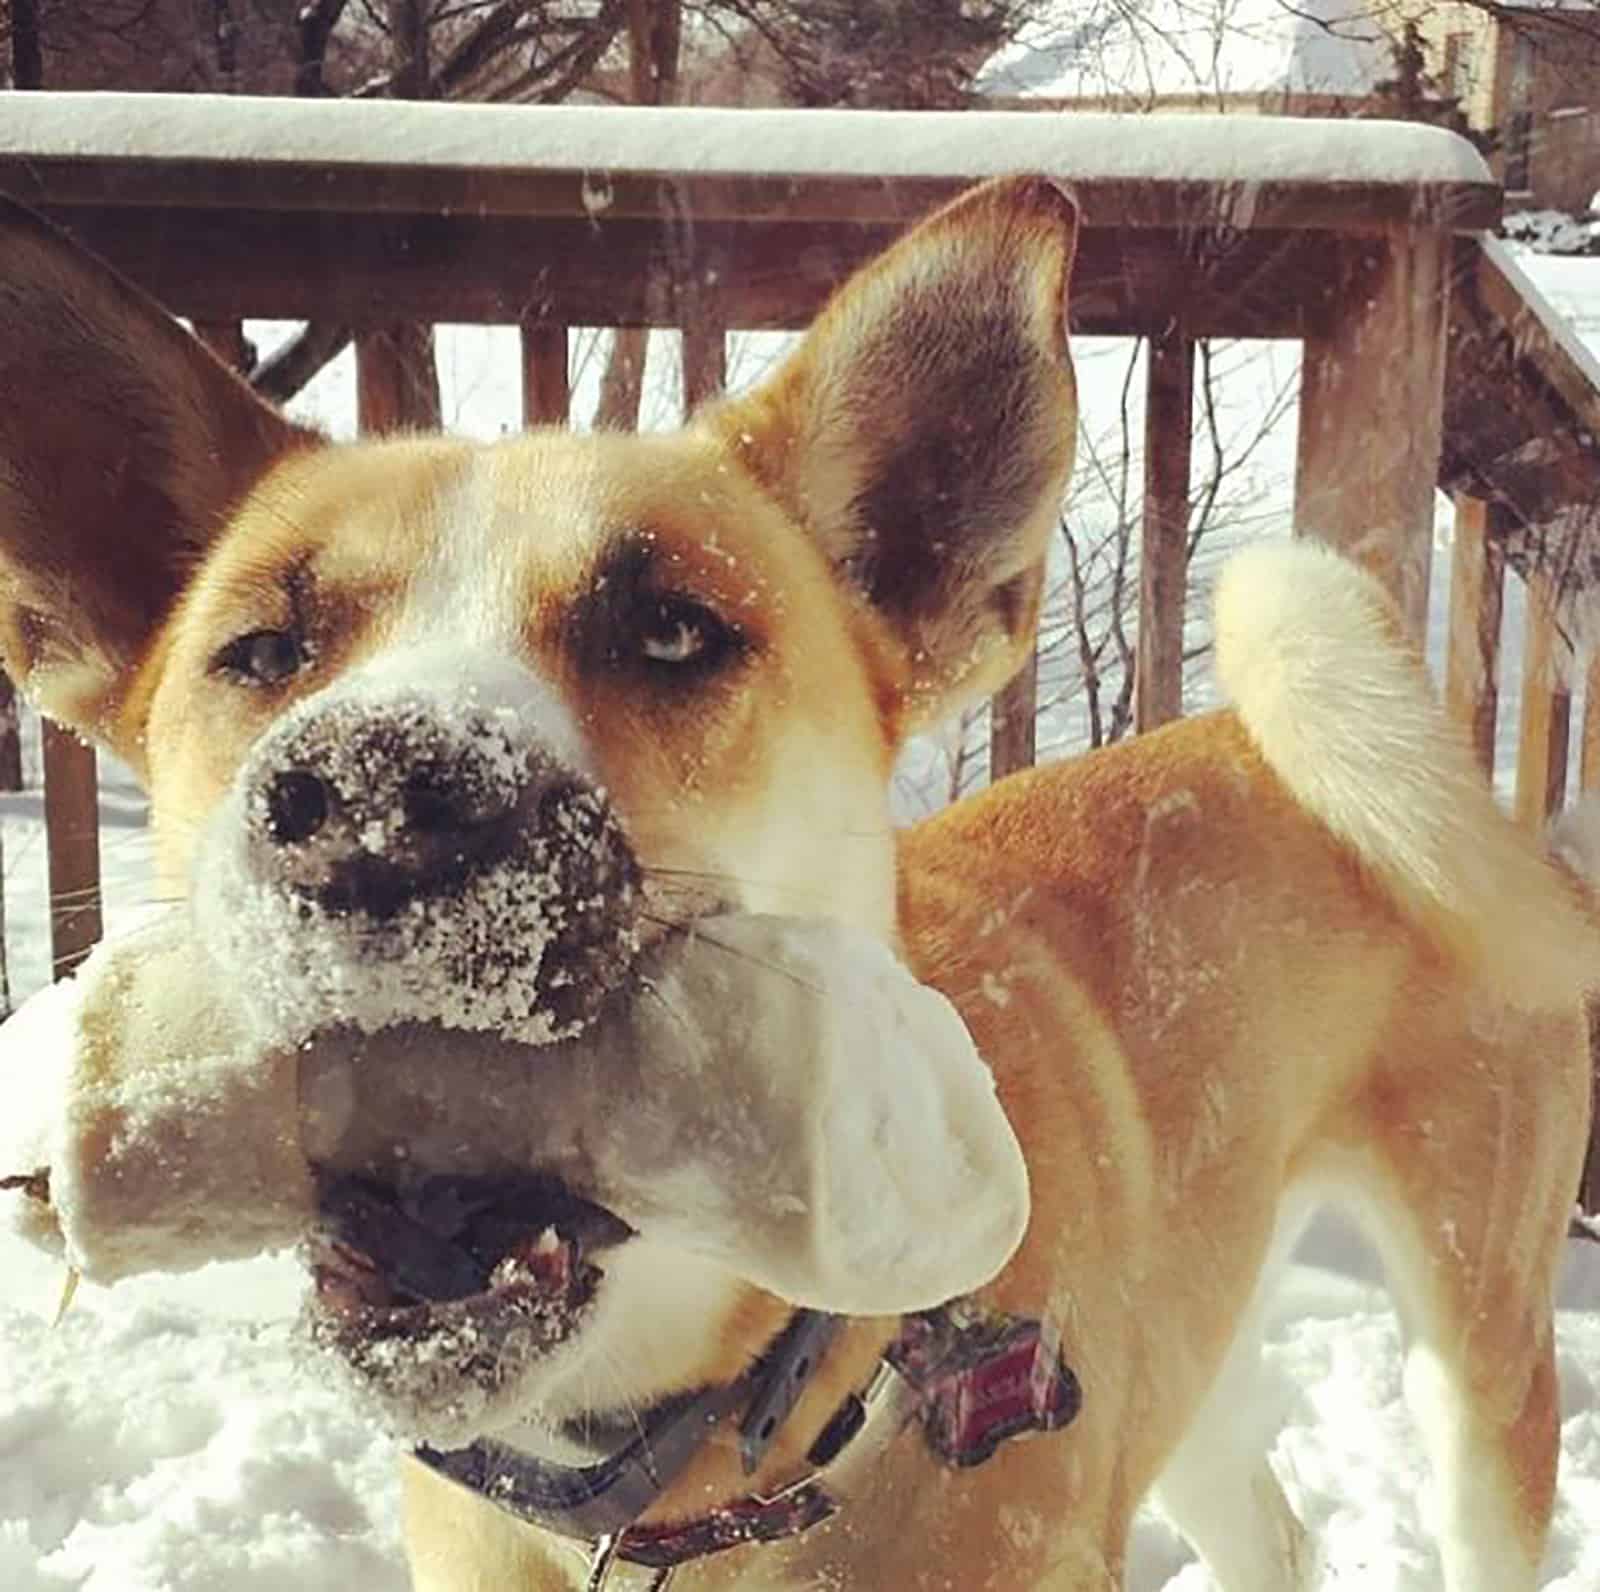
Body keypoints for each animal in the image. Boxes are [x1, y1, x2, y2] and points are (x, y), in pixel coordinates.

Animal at [0, 174, 1593, 1592]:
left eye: (671, 628)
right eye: (263, 650)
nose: (377, 804)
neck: (680, 1478)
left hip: (1477, 1342)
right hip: (1190, 1326)